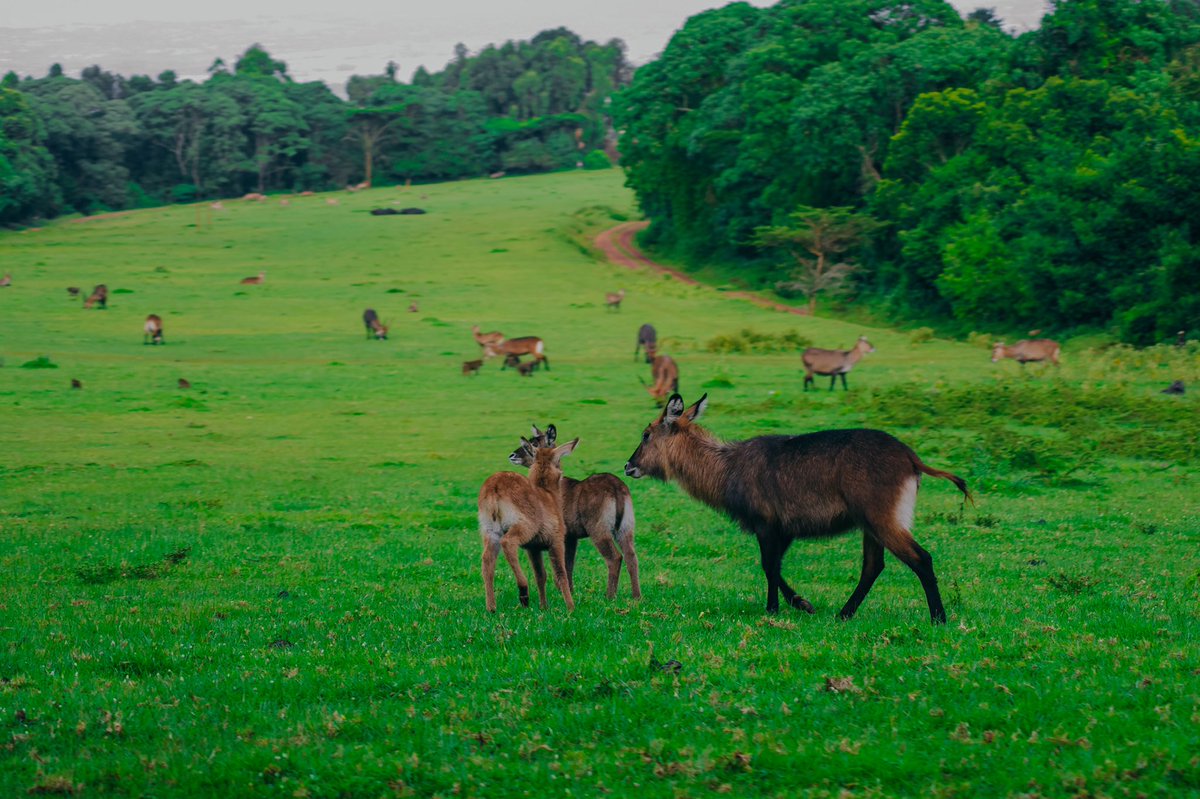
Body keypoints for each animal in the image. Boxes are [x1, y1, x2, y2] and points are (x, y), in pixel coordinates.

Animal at [475, 436, 578, 609]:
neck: (551, 496)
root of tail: (494, 488)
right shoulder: (556, 539)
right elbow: (560, 573)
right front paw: (571, 607)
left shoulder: (533, 547)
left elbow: (540, 575)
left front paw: (544, 607)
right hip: (524, 524)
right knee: (508, 543)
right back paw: (523, 592)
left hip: (489, 529)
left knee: (487, 559)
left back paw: (491, 607)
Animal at [511, 422, 643, 597]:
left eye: (534, 443)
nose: (512, 455)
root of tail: (616, 487)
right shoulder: (572, 537)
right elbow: (569, 565)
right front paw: (571, 591)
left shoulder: (563, 535)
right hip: (625, 528)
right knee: (631, 557)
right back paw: (636, 596)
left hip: (599, 530)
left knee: (615, 558)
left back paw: (609, 596)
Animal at [624, 391, 969, 623]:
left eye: (646, 434)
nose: (628, 466)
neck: (726, 468)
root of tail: (912, 457)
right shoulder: (785, 529)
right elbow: (775, 566)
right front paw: (800, 604)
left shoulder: (766, 524)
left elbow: (768, 566)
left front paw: (779, 607)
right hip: (870, 525)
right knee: (873, 566)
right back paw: (844, 614)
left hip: (882, 519)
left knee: (921, 558)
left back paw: (938, 618)